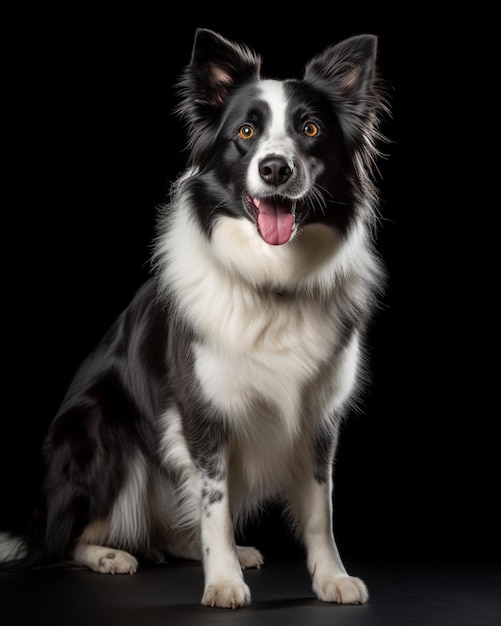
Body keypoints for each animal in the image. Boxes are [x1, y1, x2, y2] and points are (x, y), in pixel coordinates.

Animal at [0, 28, 388, 604]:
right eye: (246, 131)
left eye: (310, 129)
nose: (276, 169)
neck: (273, 279)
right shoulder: (202, 411)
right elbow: (214, 504)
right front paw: (222, 581)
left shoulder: (320, 414)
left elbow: (321, 507)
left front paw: (331, 577)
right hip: (100, 430)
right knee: (64, 540)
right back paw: (111, 555)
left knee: (161, 532)